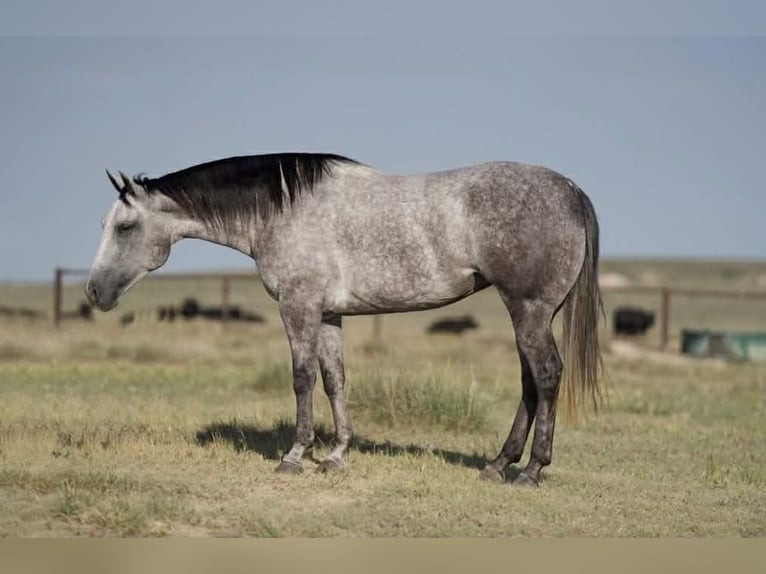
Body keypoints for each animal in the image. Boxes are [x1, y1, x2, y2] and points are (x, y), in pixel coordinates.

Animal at [85, 153, 603, 486]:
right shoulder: (329, 313)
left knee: (546, 376)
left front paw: (295, 456)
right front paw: (336, 455)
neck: (283, 210)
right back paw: (499, 464)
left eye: (125, 227)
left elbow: (302, 378)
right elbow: (335, 379)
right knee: (531, 382)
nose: (93, 292)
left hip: (528, 309)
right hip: (530, 313)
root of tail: (570, 190)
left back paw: (531, 470)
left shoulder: (298, 306)